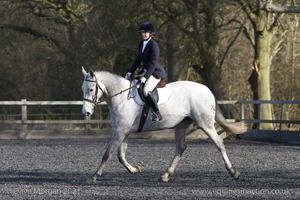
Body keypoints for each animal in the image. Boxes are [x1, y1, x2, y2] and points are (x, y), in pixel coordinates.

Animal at [81, 67, 246, 183]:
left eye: (91, 89)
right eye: (82, 89)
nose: (86, 112)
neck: (121, 97)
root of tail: (207, 90)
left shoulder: (120, 131)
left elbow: (107, 154)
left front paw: (95, 175)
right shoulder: (124, 131)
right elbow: (120, 155)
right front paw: (135, 169)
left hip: (205, 124)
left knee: (219, 143)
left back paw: (234, 172)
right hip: (181, 124)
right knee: (181, 147)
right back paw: (166, 175)